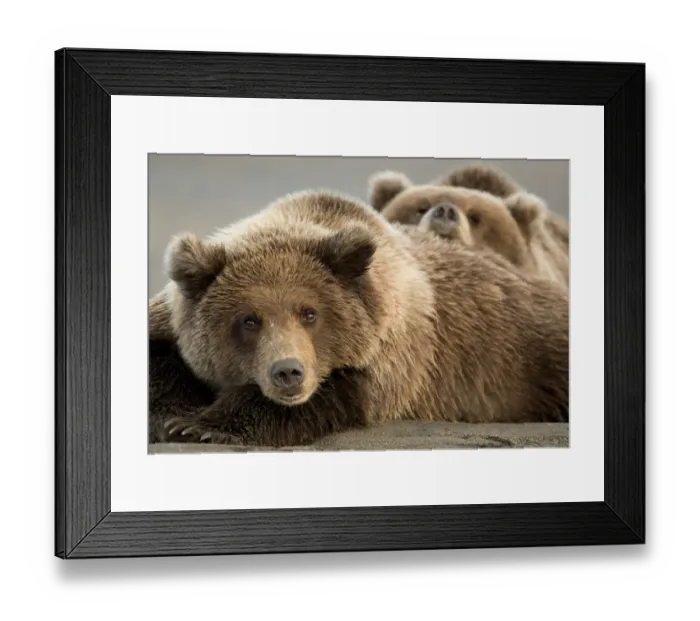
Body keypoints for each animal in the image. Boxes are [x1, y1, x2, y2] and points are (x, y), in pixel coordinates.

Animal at [152, 189, 569, 448]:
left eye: (310, 313)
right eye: (249, 320)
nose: (288, 372)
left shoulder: (391, 351)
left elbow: (338, 395)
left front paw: (201, 427)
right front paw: (175, 417)